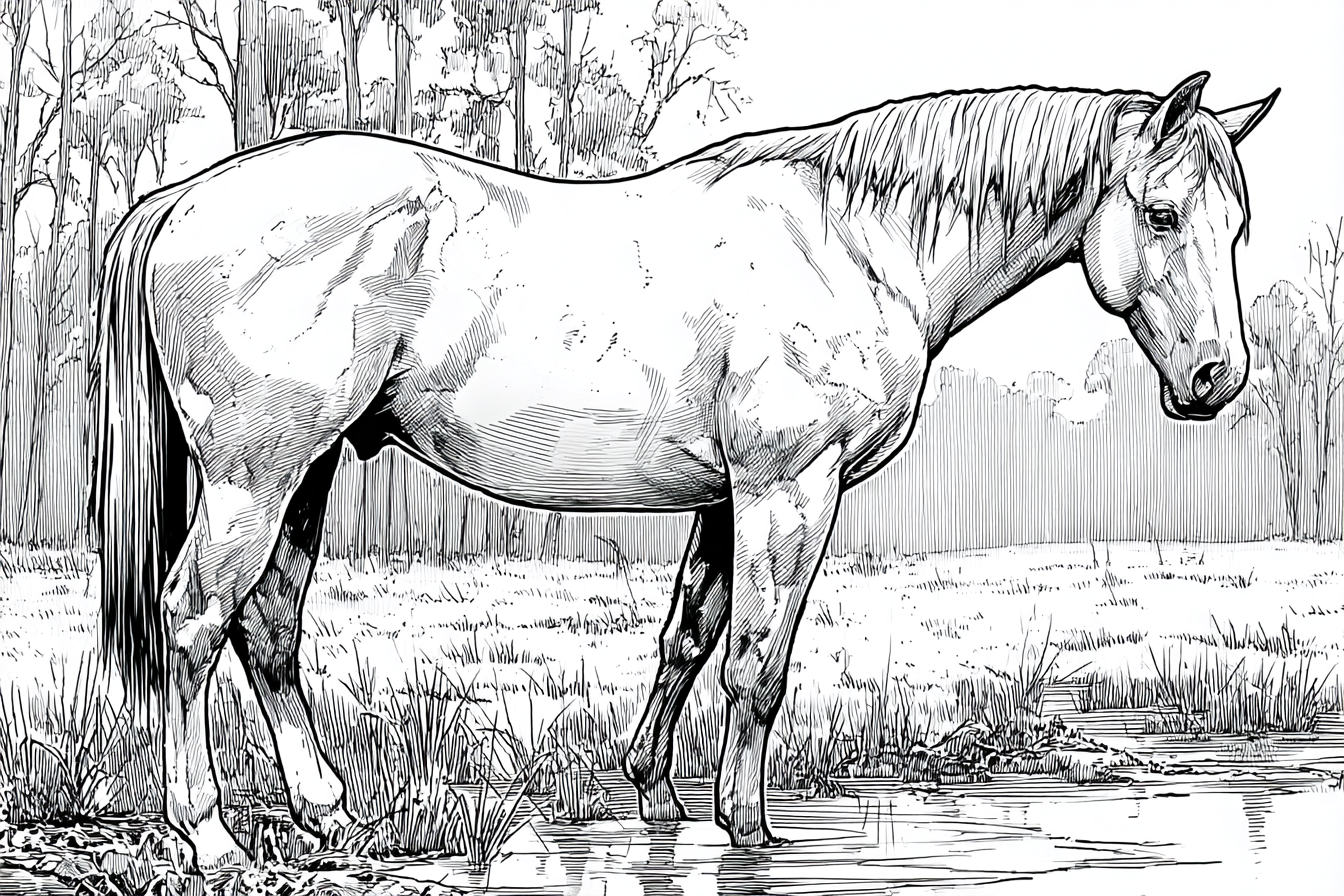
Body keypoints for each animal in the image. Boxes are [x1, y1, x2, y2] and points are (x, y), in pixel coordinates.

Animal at [92, 71, 1276, 870]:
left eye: (1239, 223)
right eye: (1162, 213)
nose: (1216, 378)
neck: (854, 241)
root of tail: (184, 196)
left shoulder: (725, 499)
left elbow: (688, 636)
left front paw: (654, 792)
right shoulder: (789, 487)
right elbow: (758, 663)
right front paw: (746, 827)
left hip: (308, 472)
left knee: (267, 628)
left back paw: (328, 810)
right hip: (257, 473)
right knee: (194, 620)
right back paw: (208, 836)